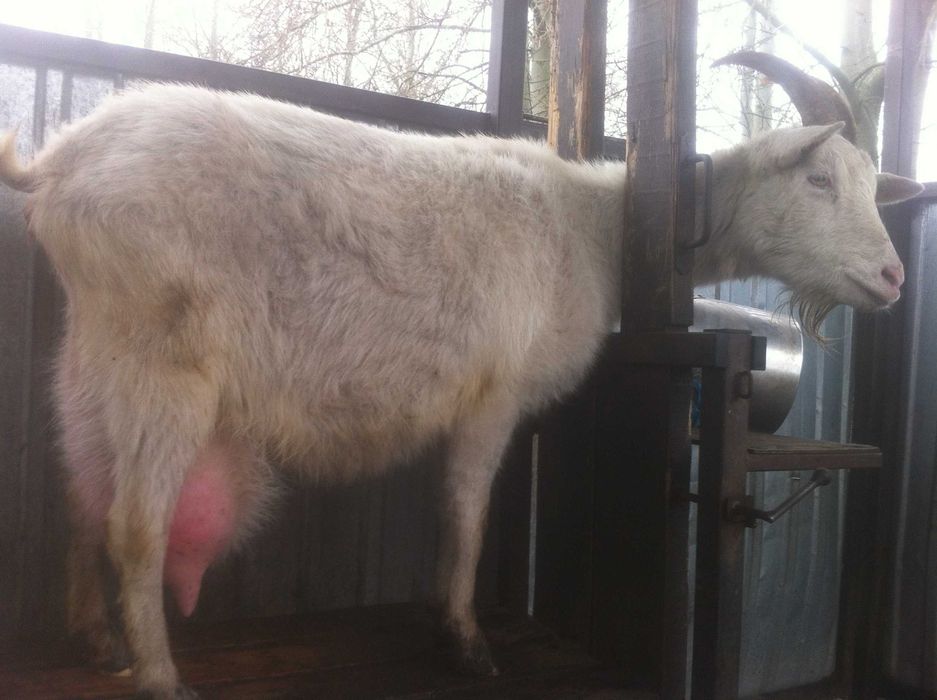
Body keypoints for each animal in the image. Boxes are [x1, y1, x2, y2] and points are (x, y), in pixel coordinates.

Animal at [0, 70, 921, 697]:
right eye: (816, 179)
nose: (893, 277)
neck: (594, 224)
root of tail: (53, 167)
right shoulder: (493, 394)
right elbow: (466, 515)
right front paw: (466, 641)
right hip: (165, 357)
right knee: (134, 524)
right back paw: (159, 675)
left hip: (94, 349)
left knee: (83, 492)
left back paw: (96, 639)